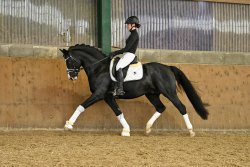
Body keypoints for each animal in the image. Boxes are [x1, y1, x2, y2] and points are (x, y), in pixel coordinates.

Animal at [59, 43, 208, 136]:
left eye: (69, 61)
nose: (71, 77)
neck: (99, 68)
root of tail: (168, 67)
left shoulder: (99, 94)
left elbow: (81, 106)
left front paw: (68, 125)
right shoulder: (108, 96)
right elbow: (118, 112)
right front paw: (126, 130)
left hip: (169, 93)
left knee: (181, 107)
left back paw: (191, 131)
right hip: (152, 94)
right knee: (161, 107)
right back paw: (147, 128)